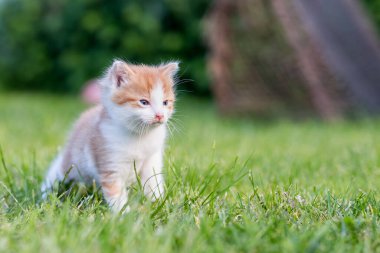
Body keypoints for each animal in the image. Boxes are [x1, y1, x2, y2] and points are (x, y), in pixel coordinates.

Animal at [42, 60, 179, 212]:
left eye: (165, 102)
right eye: (144, 102)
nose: (160, 115)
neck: (139, 136)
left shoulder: (152, 159)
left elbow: (153, 184)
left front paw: (159, 205)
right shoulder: (110, 162)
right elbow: (116, 194)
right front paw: (124, 214)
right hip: (71, 165)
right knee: (56, 172)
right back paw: (45, 194)